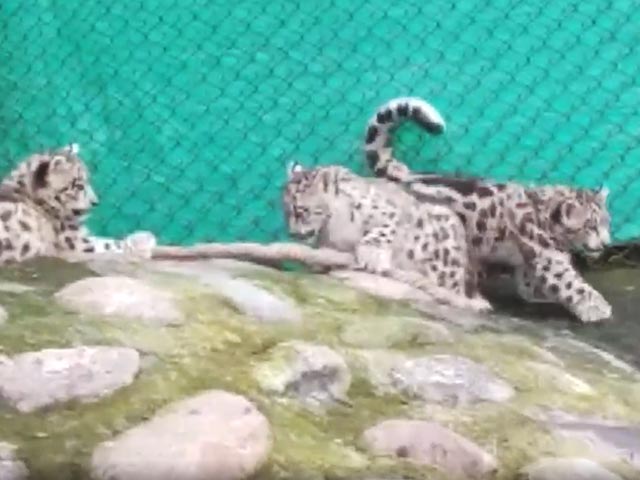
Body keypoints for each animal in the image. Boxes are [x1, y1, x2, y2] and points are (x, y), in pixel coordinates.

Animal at [282, 161, 492, 313]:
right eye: (285, 211)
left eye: (301, 210)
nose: (292, 232)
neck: (333, 227)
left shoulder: (389, 214)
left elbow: (380, 231)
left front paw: (371, 257)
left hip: (445, 265)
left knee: (452, 288)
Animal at [363, 96, 612, 323]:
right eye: (590, 226)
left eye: (607, 223)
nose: (606, 243)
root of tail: (403, 174)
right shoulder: (549, 258)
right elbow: (572, 283)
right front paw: (598, 307)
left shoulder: (531, 261)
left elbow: (528, 285)